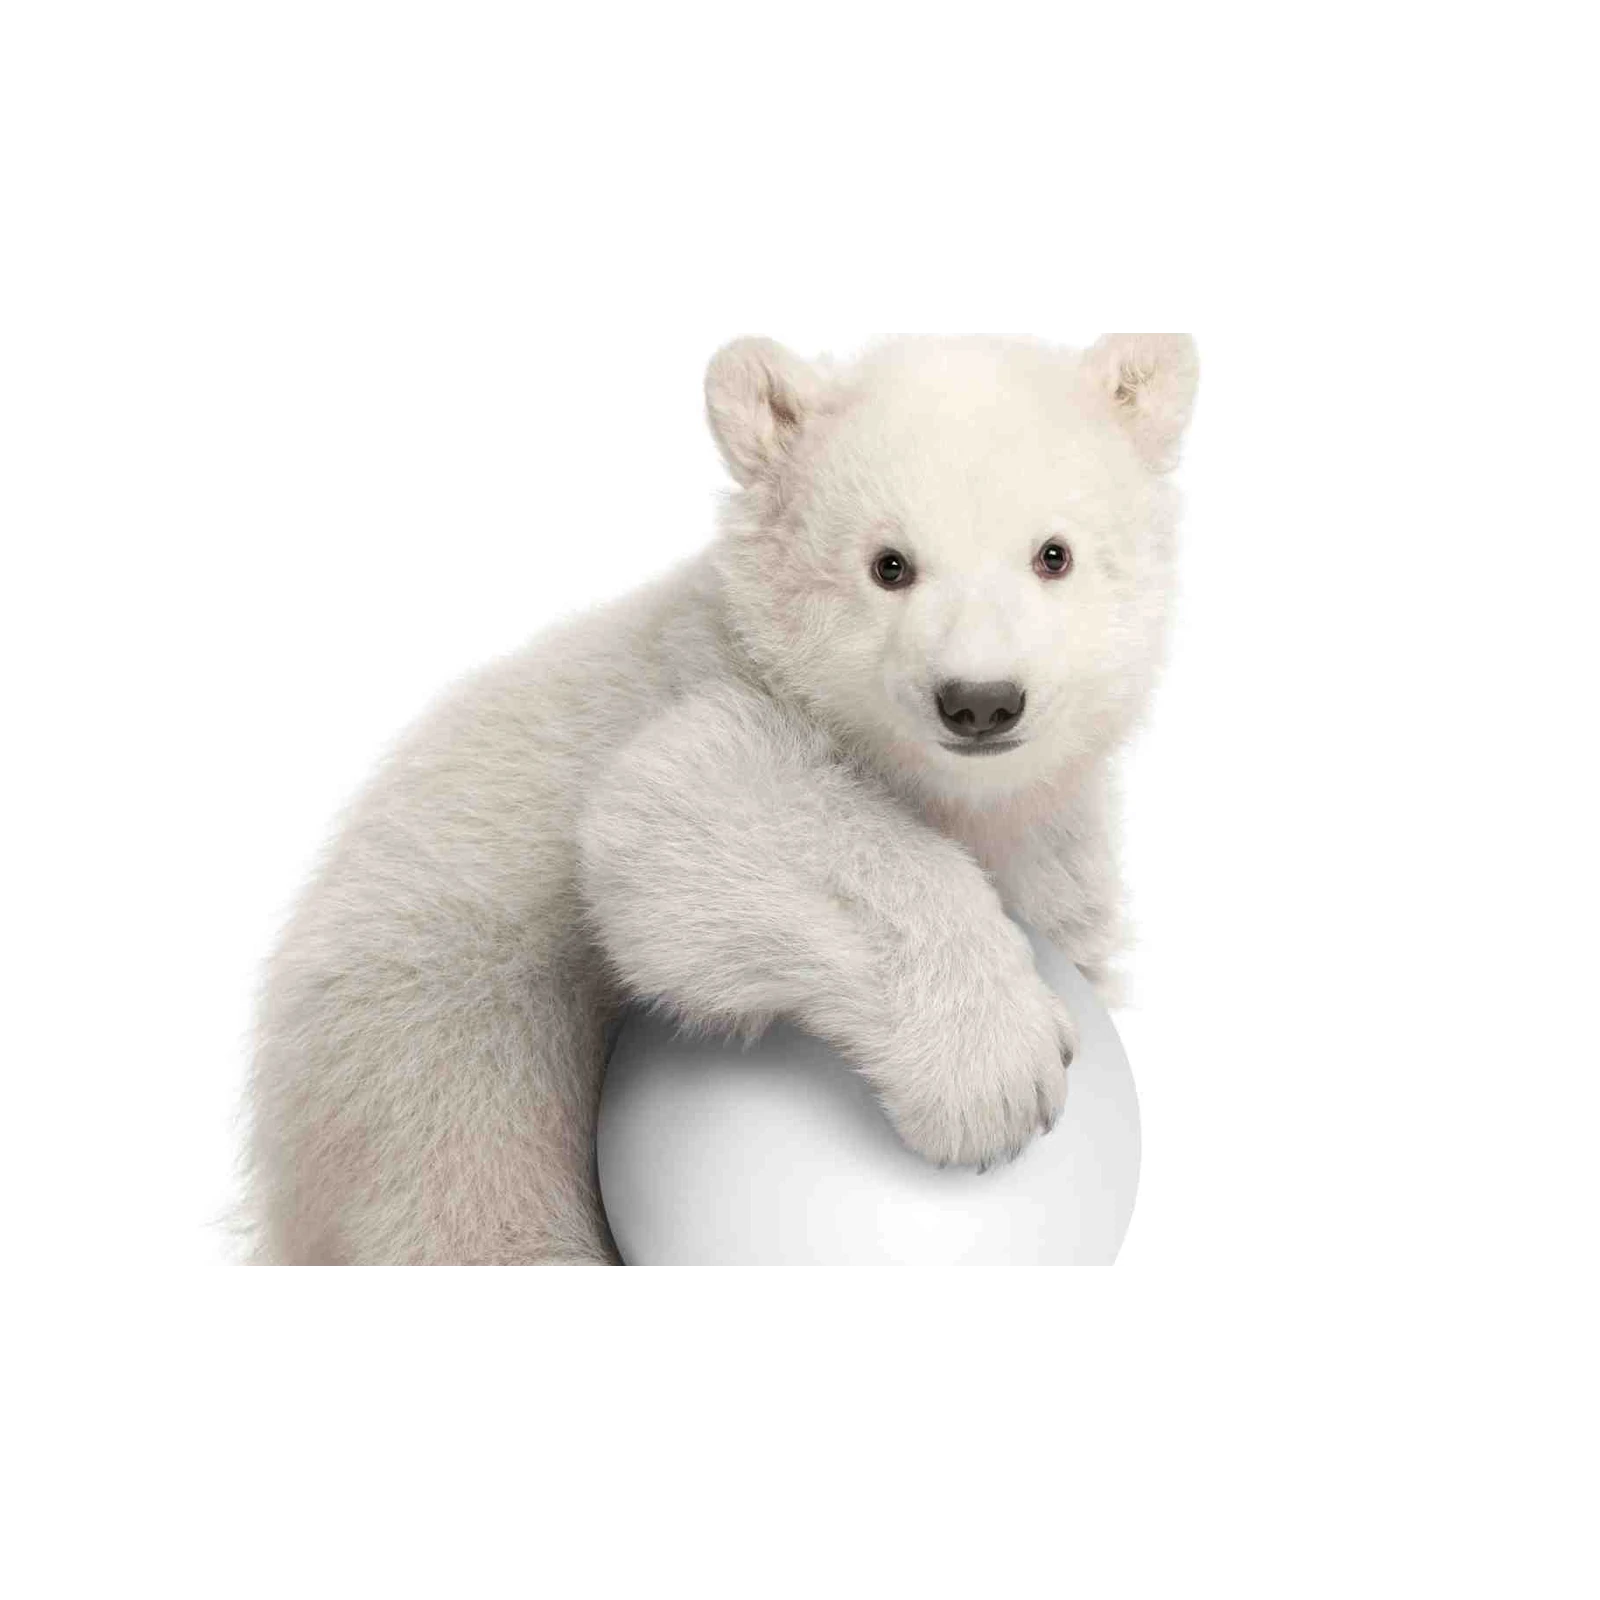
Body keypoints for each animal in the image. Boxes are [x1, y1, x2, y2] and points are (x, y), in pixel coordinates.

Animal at [244, 329, 1199, 1268]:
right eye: (888, 565)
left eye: (1054, 554)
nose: (980, 700)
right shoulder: (684, 690)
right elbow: (683, 808)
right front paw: (996, 1072)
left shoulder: (1053, 854)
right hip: (436, 1052)